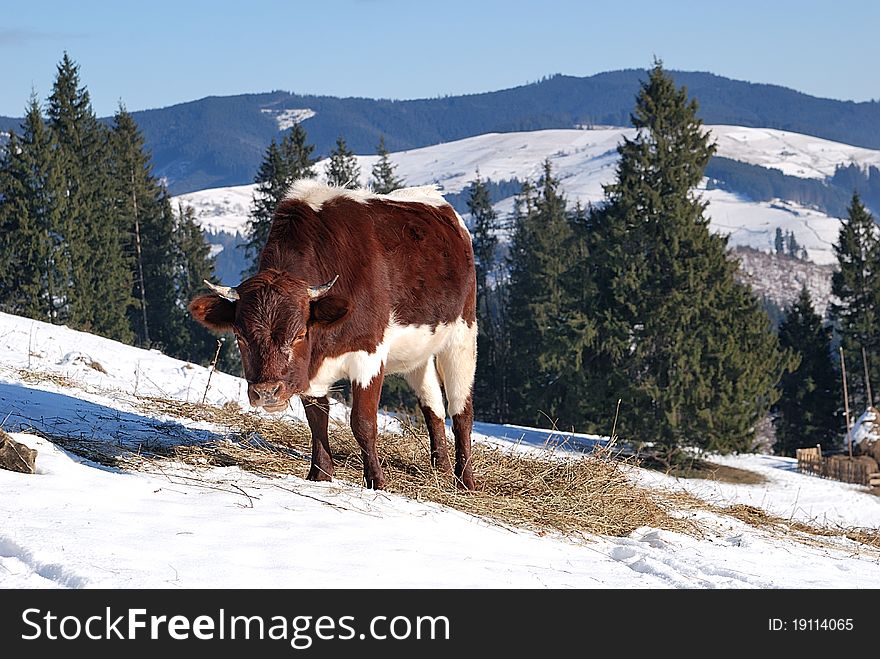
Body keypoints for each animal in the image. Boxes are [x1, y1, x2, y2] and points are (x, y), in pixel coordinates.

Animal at [187, 180, 474, 490]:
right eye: (239, 336)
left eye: (300, 334)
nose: (267, 393)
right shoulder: (309, 372)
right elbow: (316, 418)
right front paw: (321, 473)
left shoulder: (369, 354)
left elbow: (362, 422)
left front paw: (376, 481)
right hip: (417, 351)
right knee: (433, 406)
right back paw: (440, 468)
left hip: (462, 334)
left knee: (461, 410)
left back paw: (465, 480)